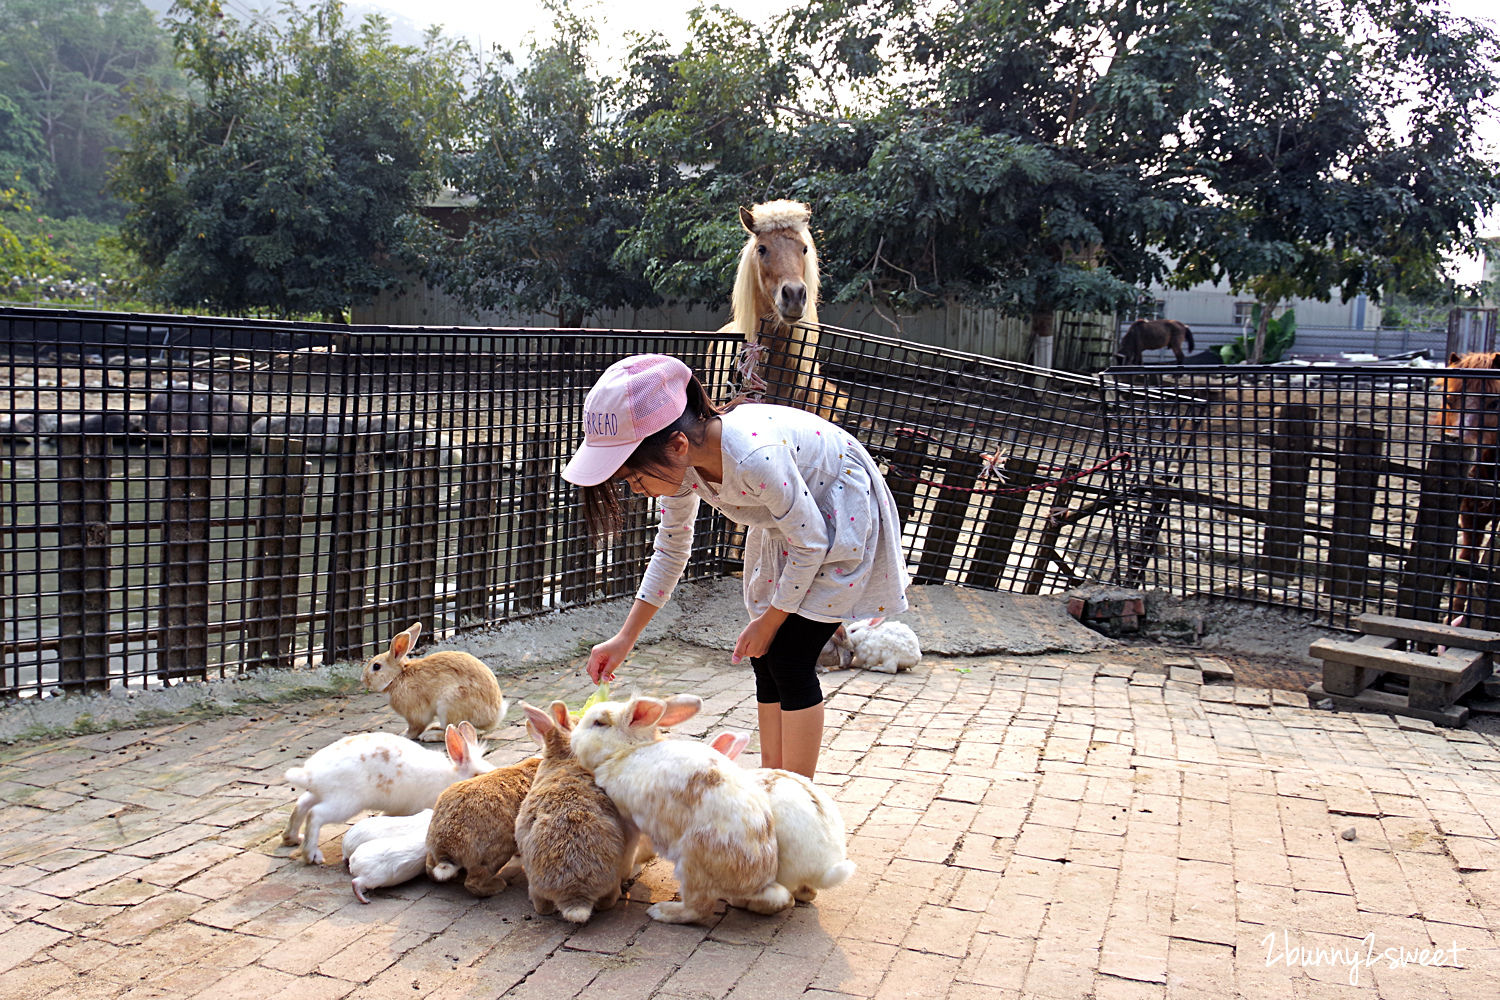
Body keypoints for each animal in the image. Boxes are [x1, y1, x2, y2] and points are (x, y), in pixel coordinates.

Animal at [279, 719, 489, 869]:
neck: (451, 778)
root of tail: (310, 775)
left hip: (321, 795)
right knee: (315, 815)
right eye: (478, 775)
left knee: (301, 805)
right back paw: (311, 855)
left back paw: (292, 838)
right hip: (345, 803)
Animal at [564, 695, 798, 923]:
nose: (573, 738)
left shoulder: (628, 819)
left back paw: (661, 911)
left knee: (698, 910)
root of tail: (756, 882)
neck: (626, 750)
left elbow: (629, 849)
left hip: (692, 864)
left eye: (599, 723)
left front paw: (624, 874)